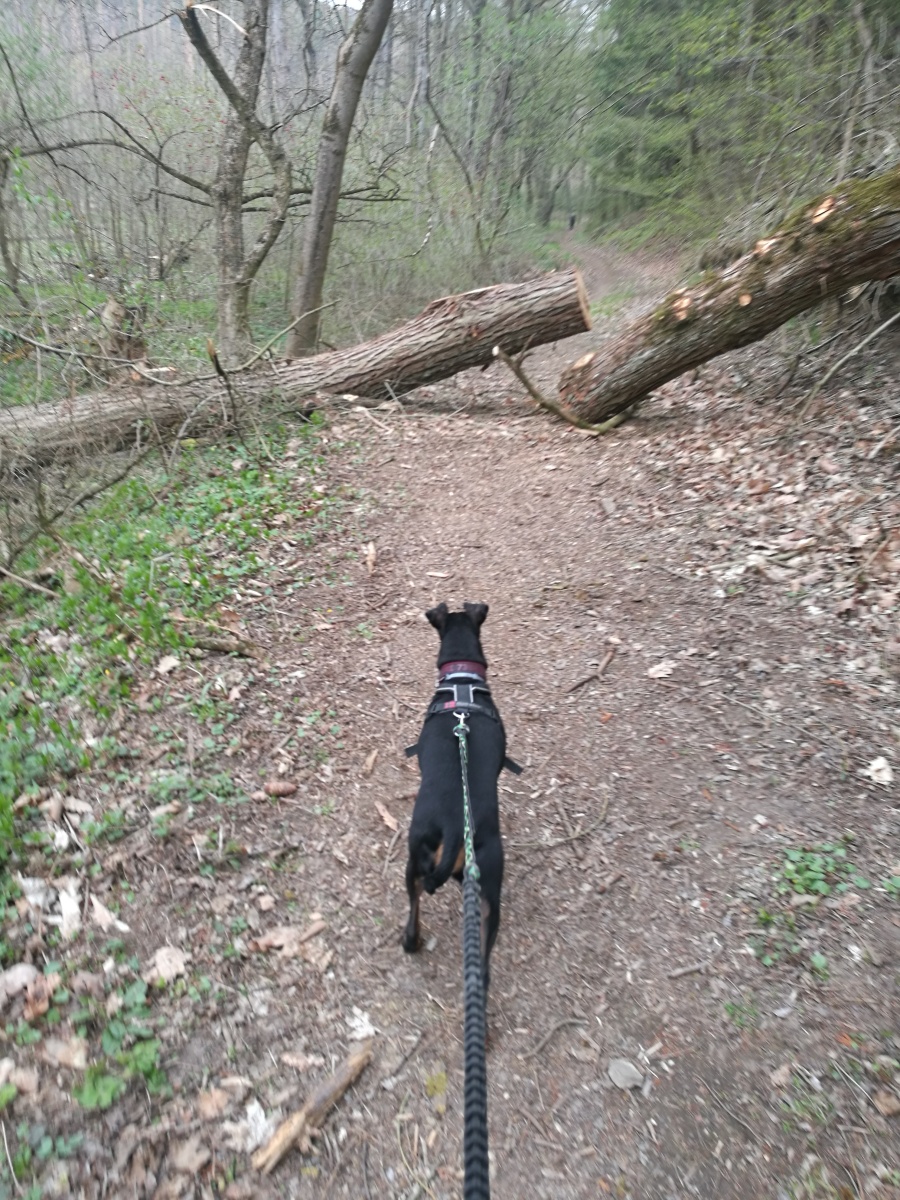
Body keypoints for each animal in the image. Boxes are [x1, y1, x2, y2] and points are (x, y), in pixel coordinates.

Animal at [403, 601, 518, 996]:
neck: (462, 683)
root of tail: (455, 827)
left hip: (416, 862)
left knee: (414, 907)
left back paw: (411, 941)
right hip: (482, 888)